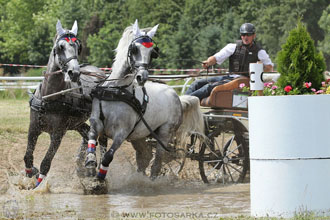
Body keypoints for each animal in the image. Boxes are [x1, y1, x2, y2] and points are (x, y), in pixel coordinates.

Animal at [24, 20, 107, 187]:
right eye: (60, 47)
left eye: (78, 47)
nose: (74, 72)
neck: (48, 98)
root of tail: (99, 72)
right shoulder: (33, 128)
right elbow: (28, 157)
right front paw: (31, 173)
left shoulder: (58, 134)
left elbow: (46, 163)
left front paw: (38, 186)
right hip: (76, 123)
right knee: (87, 134)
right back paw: (85, 165)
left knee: (101, 139)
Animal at [85, 19, 204, 186]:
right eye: (135, 49)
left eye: (152, 53)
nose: (142, 77)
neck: (115, 90)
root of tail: (177, 97)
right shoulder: (97, 124)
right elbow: (91, 141)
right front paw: (89, 166)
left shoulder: (122, 132)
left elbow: (108, 156)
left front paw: (99, 180)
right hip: (139, 135)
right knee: (144, 157)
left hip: (164, 134)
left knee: (157, 162)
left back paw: (151, 182)